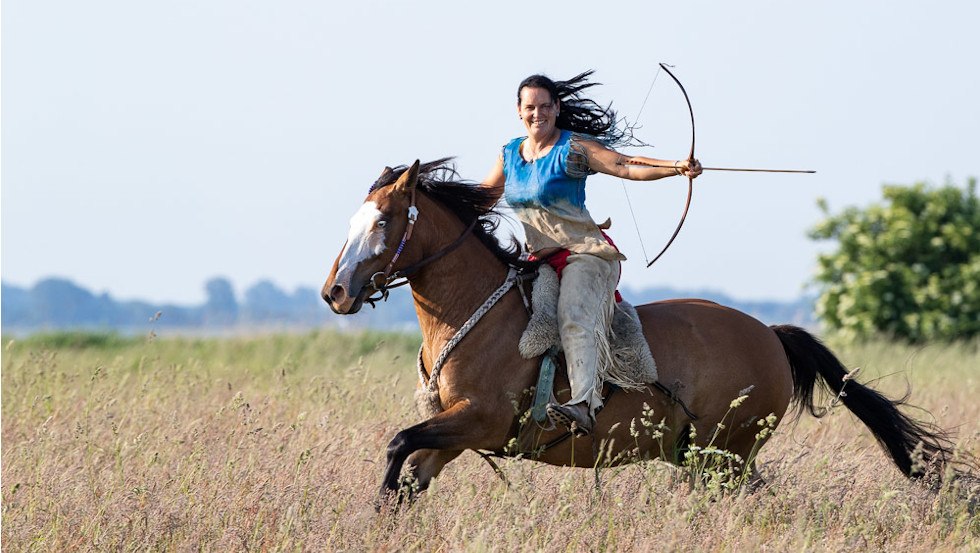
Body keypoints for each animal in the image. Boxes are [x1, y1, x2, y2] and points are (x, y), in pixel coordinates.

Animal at [322, 158, 956, 500]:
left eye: (383, 220)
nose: (335, 292)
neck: (478, 314)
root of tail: (773, 335)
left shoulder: (478, 420)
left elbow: (397, 445)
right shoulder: (451, 435)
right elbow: (406, 478)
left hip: (724, 455)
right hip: (703, 456)